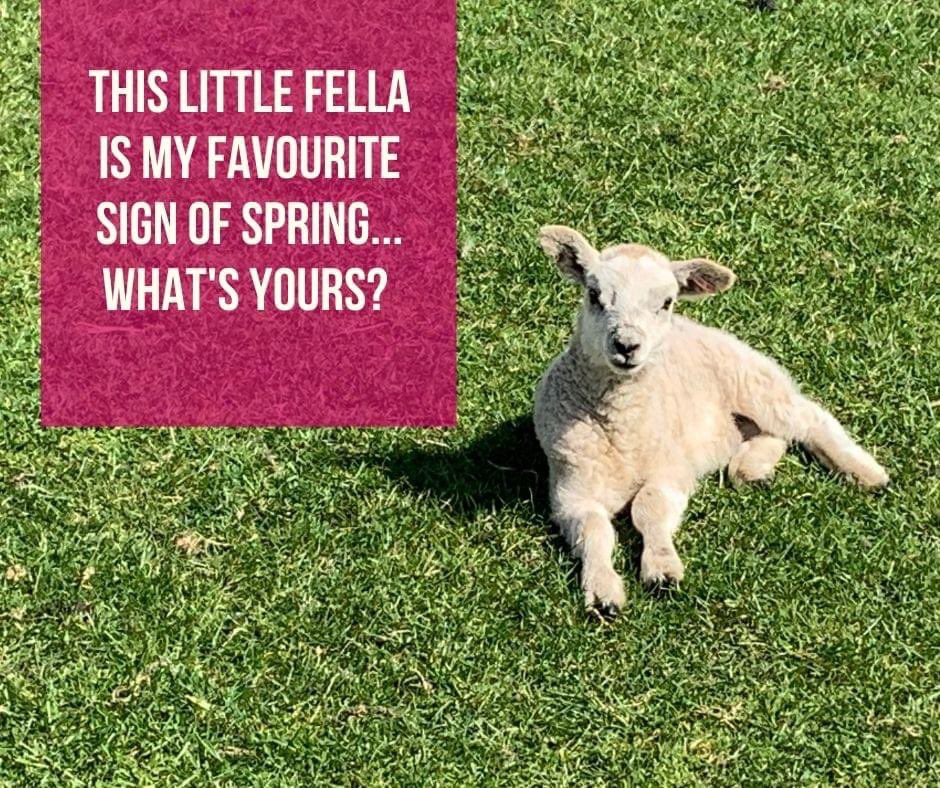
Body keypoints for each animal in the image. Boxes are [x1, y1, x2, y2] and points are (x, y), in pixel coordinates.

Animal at [533, 225, 889, 618]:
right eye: (594, 295)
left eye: (666, 302)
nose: (626, 345)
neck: (621, 429)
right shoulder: (570, 492)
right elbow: (595, 531)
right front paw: (602, 592)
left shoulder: (672, 471)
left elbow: (649, 508)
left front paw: (662, 572)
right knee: (774, 434)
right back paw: (752, 469)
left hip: (752, 380)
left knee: (810, 419)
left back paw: (866, 473)